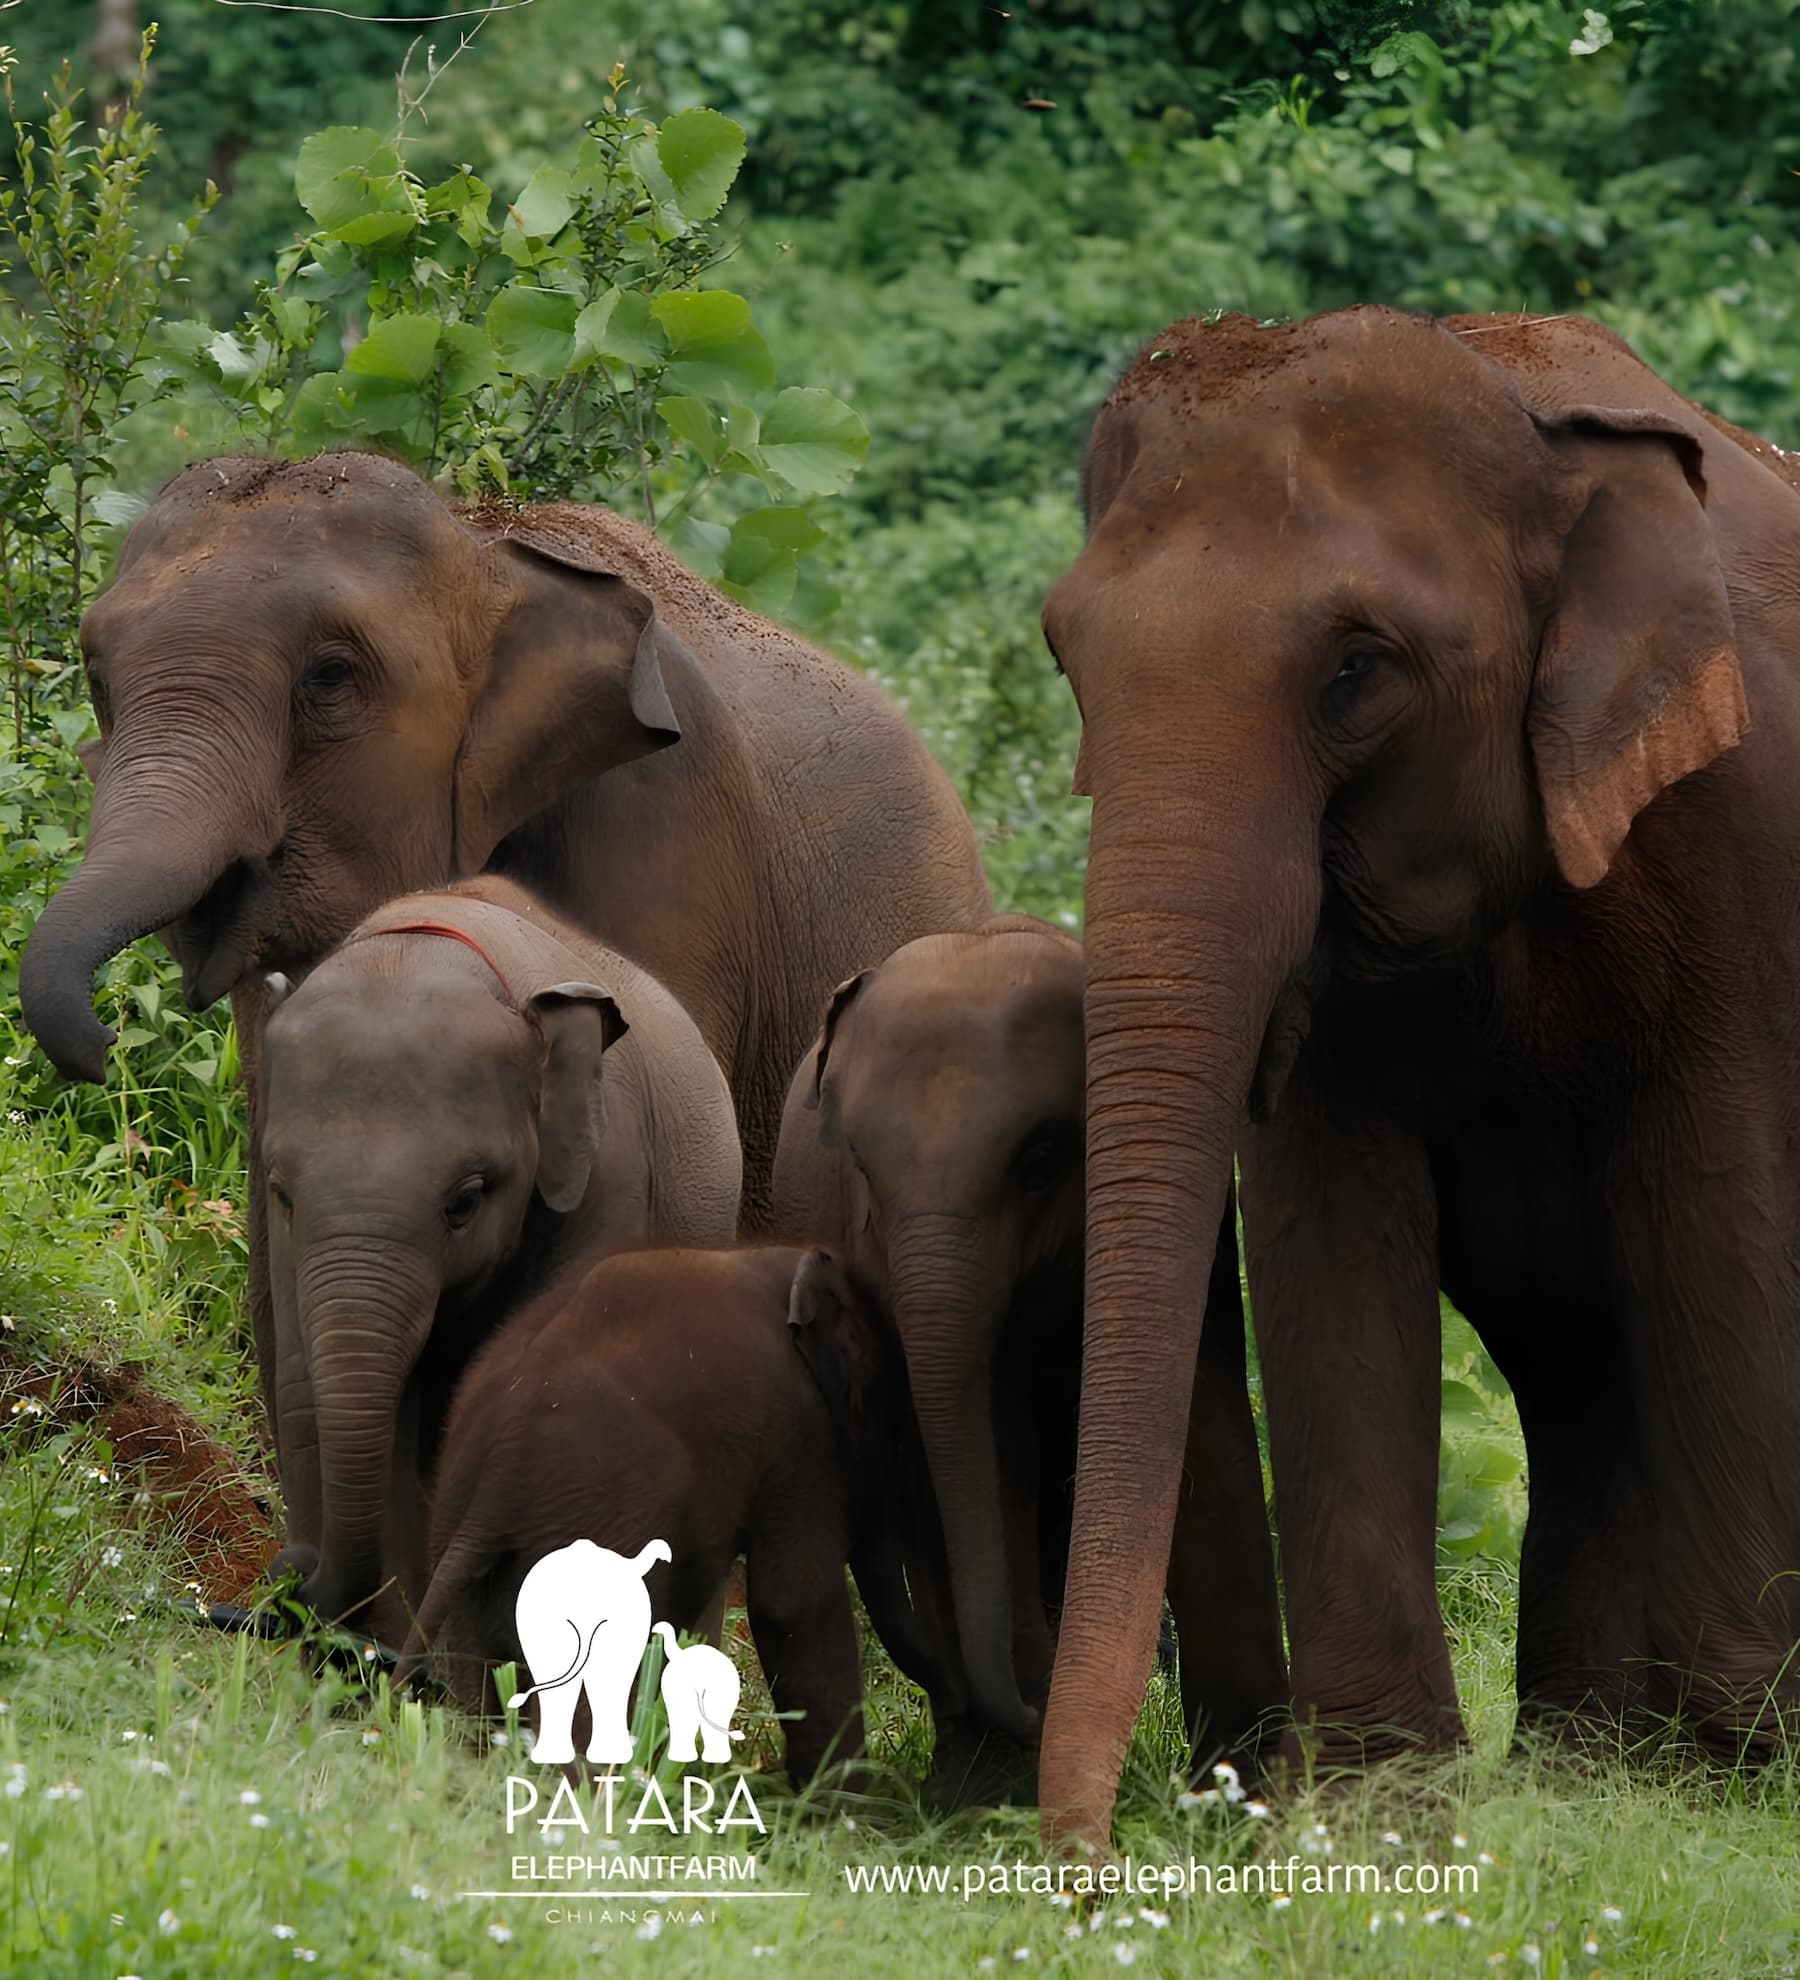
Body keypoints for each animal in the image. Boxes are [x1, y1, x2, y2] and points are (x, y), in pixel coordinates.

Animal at [772, 916, 1285, 1802]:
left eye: (1040, 1165)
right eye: (859, 1169)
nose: (1032, 1708)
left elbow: (1200, 1407)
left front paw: (1252, 1782)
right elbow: (982, 1452)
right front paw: (996, 1788)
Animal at [1035, 304, 1800, 1844]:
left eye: (1355, 668)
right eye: (1063, 656)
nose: (1081, 1862)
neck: (1534, 423)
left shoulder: (1737, 832)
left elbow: (1719, 1208)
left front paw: (1742, 1789)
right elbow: (1329, 1230)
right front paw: (1379, 1801)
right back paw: (1585, 1770)